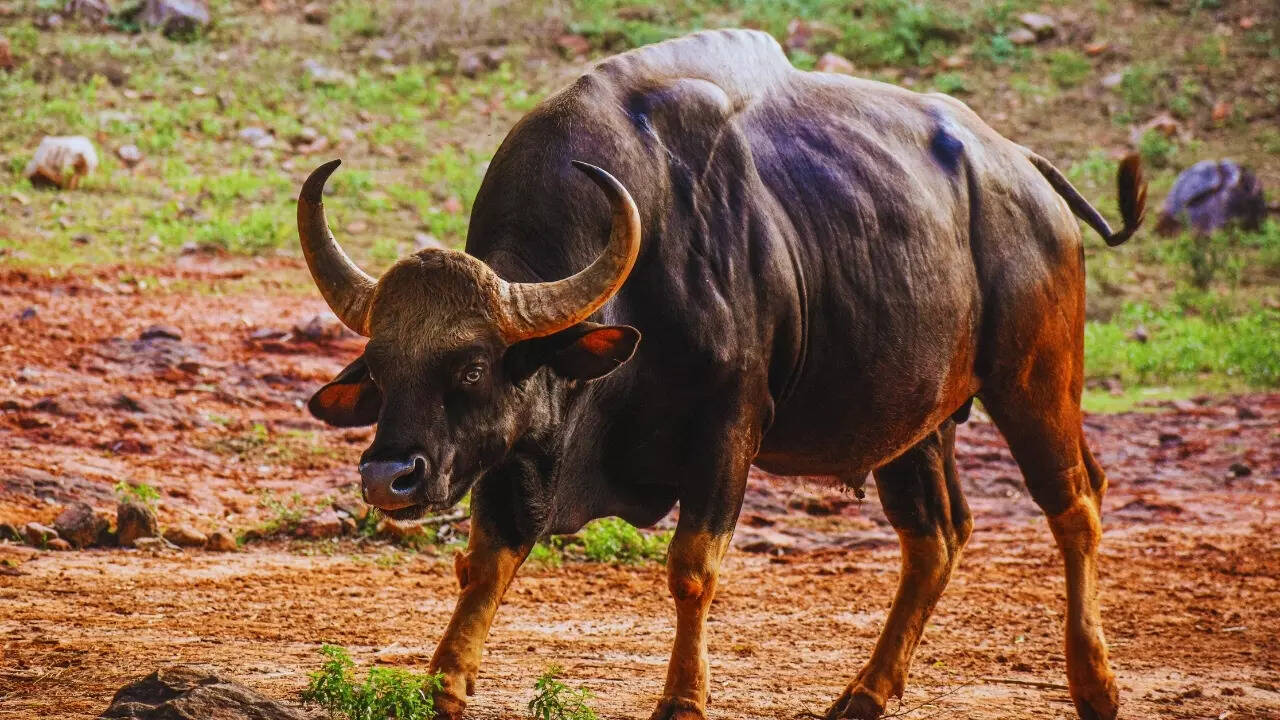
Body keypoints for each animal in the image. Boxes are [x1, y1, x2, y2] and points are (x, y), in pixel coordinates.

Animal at [298, 30, 1145, 720]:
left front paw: (682, 698)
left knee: (1075, 504)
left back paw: (1096, 686)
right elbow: (486, 560)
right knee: (937, 535)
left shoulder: (727, 434)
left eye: (472, 365)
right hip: (918, 421)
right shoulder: (519, 453)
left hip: (1034, 380)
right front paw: (444, 682)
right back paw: (865, 693)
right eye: (382, 367)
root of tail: (1024, 172)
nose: (387, 477)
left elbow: (691, 568)